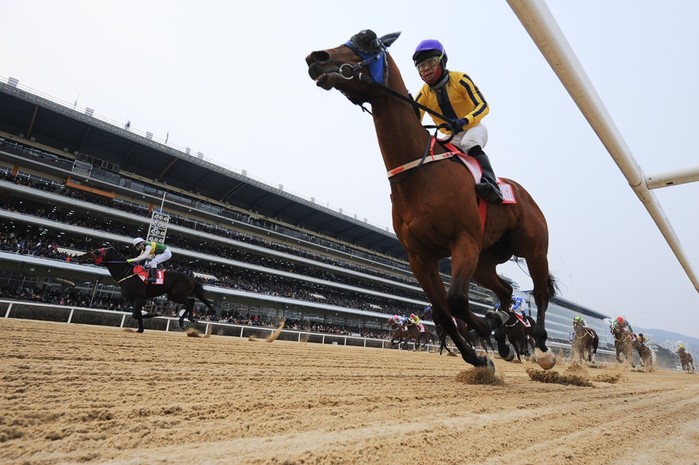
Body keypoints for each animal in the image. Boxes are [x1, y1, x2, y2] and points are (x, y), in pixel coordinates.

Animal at [75, 247, 214, 333]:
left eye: (96, 251)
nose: (80, 257)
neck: (128, 274)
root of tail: (192, 278)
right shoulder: (132, 299)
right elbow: (136, 314)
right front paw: (140, 329)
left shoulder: (140, 297)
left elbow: (136, 313)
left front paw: (153, 314)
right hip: (173, 295)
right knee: (191, 301)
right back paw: (190, 319)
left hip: (177, 295)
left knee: (190, 303)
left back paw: (183, 321)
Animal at [306, 29, 558, 372]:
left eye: (367, 39)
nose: (316, 58)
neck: (419, 173)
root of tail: (522, 194)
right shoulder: (420, 256)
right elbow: (443, 311)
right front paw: (479, 355)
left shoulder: (463, 240)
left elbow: (456, 301)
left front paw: (487, 331)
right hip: (485, 260)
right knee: (505, 291)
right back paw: (503, 332)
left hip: (533, 248)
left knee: (541, 293)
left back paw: (542, 349)